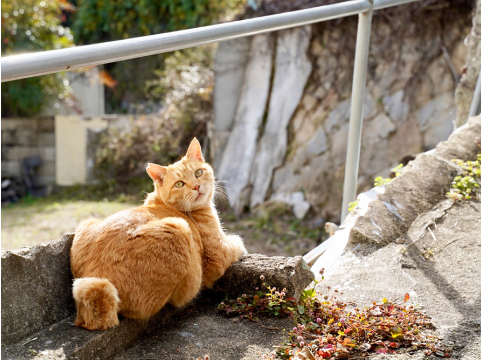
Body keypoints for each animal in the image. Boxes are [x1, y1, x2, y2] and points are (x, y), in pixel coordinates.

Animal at [69, 138, 246, 330]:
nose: (197, 186)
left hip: (87, 222)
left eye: (198, 173)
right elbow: (237, 243)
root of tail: (95, 273)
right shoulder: (218, 254)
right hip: (179, 228)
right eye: (179, 184)